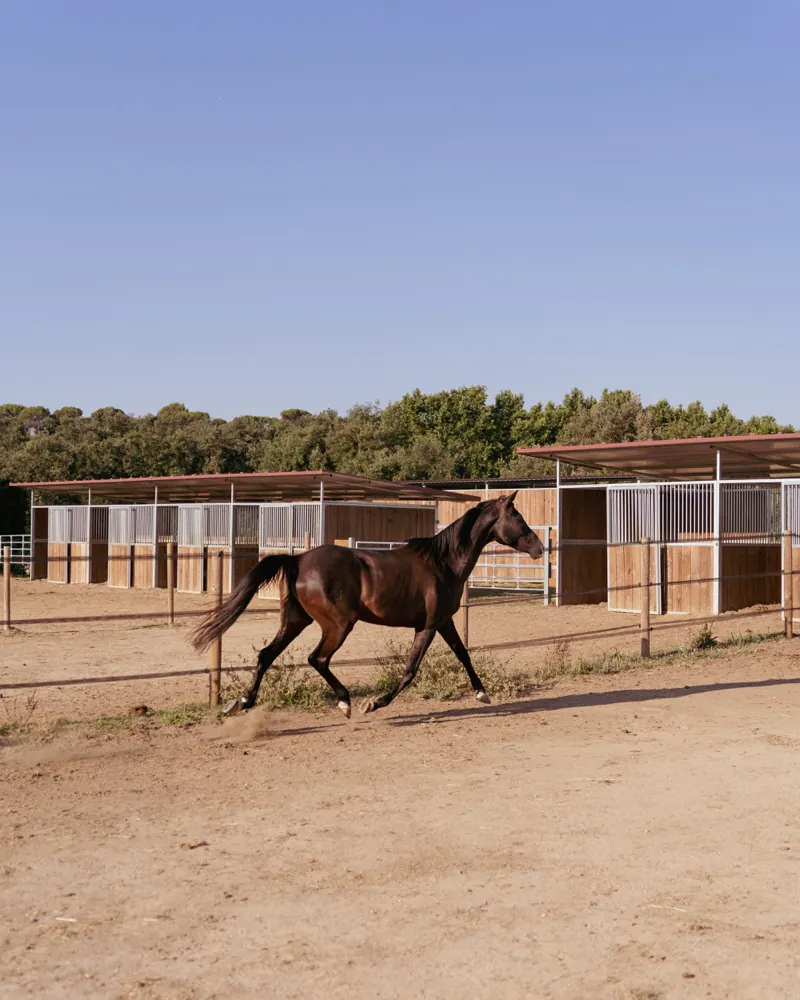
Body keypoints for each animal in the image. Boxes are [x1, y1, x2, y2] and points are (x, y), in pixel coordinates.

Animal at [190, 491, 543, 717]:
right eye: (518, 517)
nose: (539, 547)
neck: (443, 562)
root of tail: (298, 559)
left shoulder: (444, 622)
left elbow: (463, 654)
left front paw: (482, 693)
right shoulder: (428, 626)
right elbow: (410, 670)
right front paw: (373, 703)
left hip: (296, 621)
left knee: (266, 654)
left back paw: (243, 702)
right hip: (338, 624)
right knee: (317, 659)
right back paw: (346, 703)